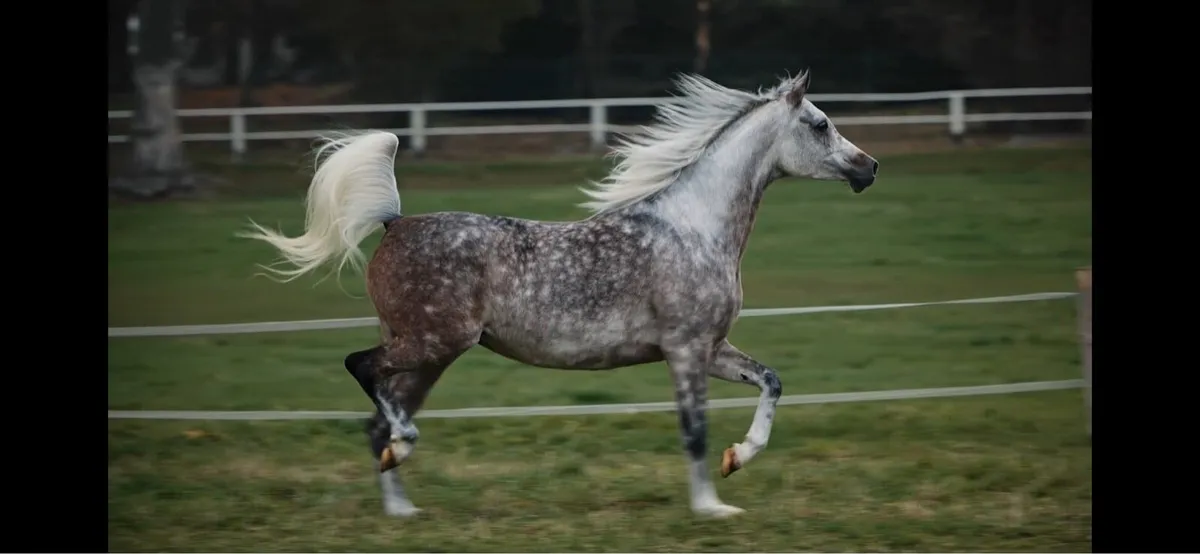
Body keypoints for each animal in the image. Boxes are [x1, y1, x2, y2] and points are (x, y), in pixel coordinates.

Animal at [241, 70, 878, 519]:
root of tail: (394, 223)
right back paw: (405, 455)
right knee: (362, 370)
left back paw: (402, 506)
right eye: (820, 124)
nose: (869, 168)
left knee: (377, 422)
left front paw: (736, 462)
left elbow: (771, 382)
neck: (694, 229)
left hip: (430, 356)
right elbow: (693, 431)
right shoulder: (685, 349)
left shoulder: (713, 347)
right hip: (432, 342)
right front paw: (711, 508)